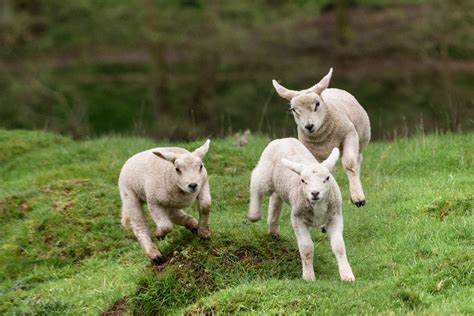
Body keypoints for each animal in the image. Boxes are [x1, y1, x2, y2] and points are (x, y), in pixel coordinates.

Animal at [248, 138, 356, 282]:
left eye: (327, 178)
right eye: (303, 180)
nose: (315, 193)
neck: (317, 206)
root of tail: (282, 139)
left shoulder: (335, 217)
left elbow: (339, 247)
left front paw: (347, 275)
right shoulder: (297, 219)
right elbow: (306, 248)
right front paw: (308, 276)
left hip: (280, 186)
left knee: (275, 199)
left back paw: (273, 230)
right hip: (265, 172)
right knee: (256, 184)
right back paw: (254, 214)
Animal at [270, 68, 370, 207]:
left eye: (317, 104)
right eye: (293, 109)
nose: (308, 126)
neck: (322, 136)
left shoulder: (349, 134)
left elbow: (350, 164)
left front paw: (358, 198)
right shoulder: (310, 149)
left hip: (360, 139)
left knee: (357, 159)